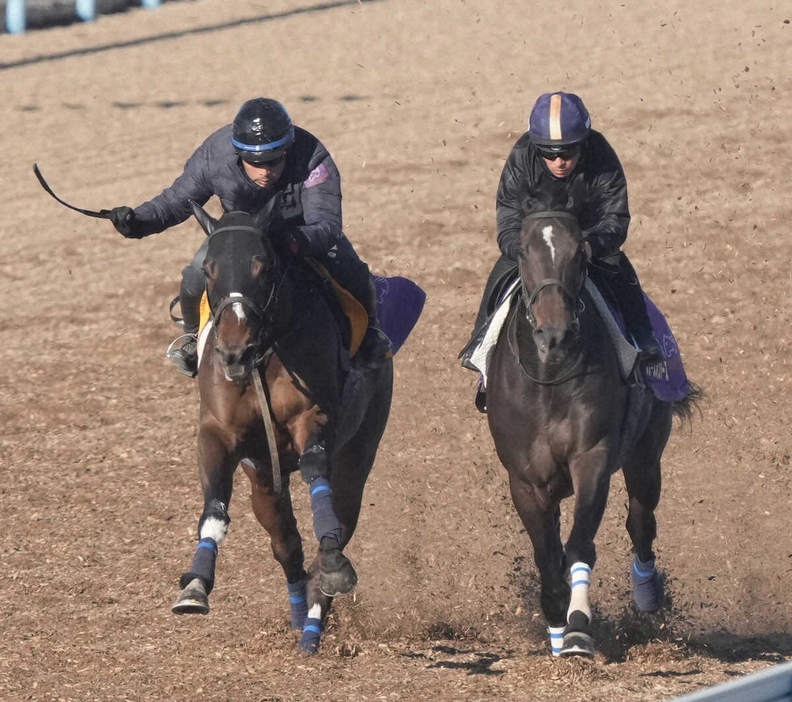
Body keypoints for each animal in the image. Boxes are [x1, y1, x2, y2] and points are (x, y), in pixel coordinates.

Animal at [174, 201, 396, 656]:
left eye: (264, 265)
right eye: (209, 269)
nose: (233, 351)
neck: (263, 357)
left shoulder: (314, 420)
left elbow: (316, 475)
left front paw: (332, 567)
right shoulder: (218, 434)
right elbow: (215, 506)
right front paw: (196, 584)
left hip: (358, 454)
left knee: (339, 518)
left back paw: (312, 624)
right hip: (263, 479)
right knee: (286, 543)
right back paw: (298, 614)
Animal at [482, 199, 700, 660]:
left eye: (580, 255)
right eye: (523, 253)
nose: (554, 332)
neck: (549, 377)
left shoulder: (592, 457)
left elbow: (580, 544)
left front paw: (578, 627)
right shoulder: (524, 480)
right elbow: (547, 556)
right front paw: (555, 626)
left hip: (646, 456)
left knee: (641, 523)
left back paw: (648, 595)